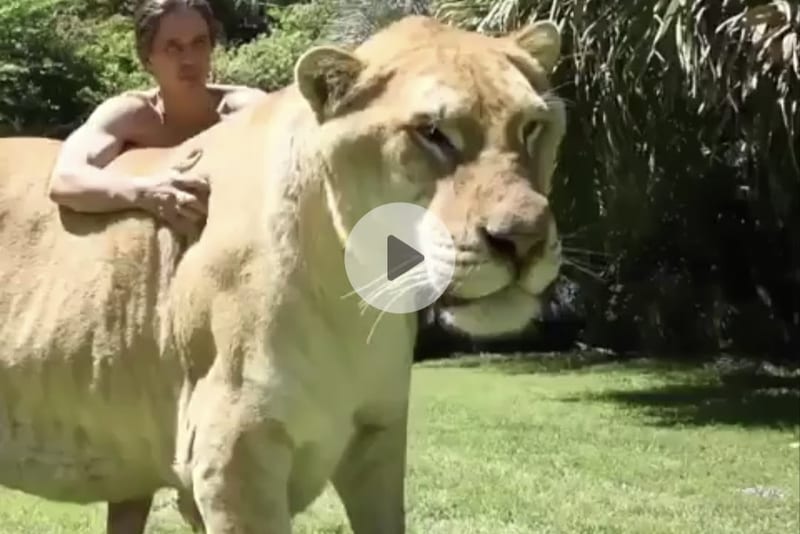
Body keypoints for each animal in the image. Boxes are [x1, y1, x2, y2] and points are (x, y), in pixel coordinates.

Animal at [0, 15, 566, 534]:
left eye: (532, 127)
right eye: (432, 133)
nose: (524, 240)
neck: (359, 302)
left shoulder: (378, 439)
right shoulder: (232, 457)